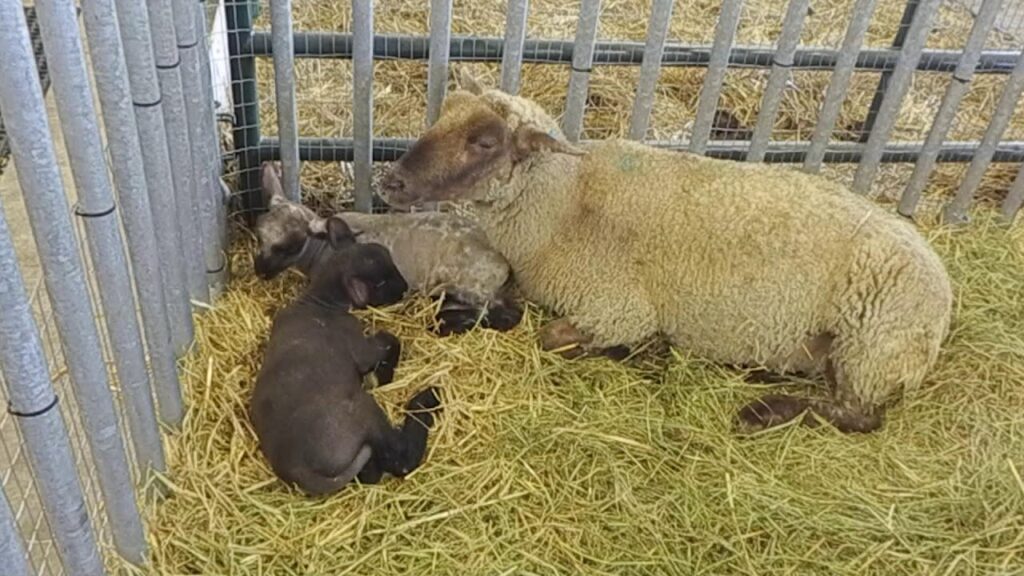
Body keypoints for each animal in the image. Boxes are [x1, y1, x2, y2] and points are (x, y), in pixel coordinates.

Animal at [380, 70, 954, 430]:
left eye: (484, 142)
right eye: (441, 115)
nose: (391, 182)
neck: (564, 206)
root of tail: (944, 287)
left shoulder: (617, 308)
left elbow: (555, 338)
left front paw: (639, 350)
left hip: (872, 346)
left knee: (860, 415)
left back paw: (763, 412)